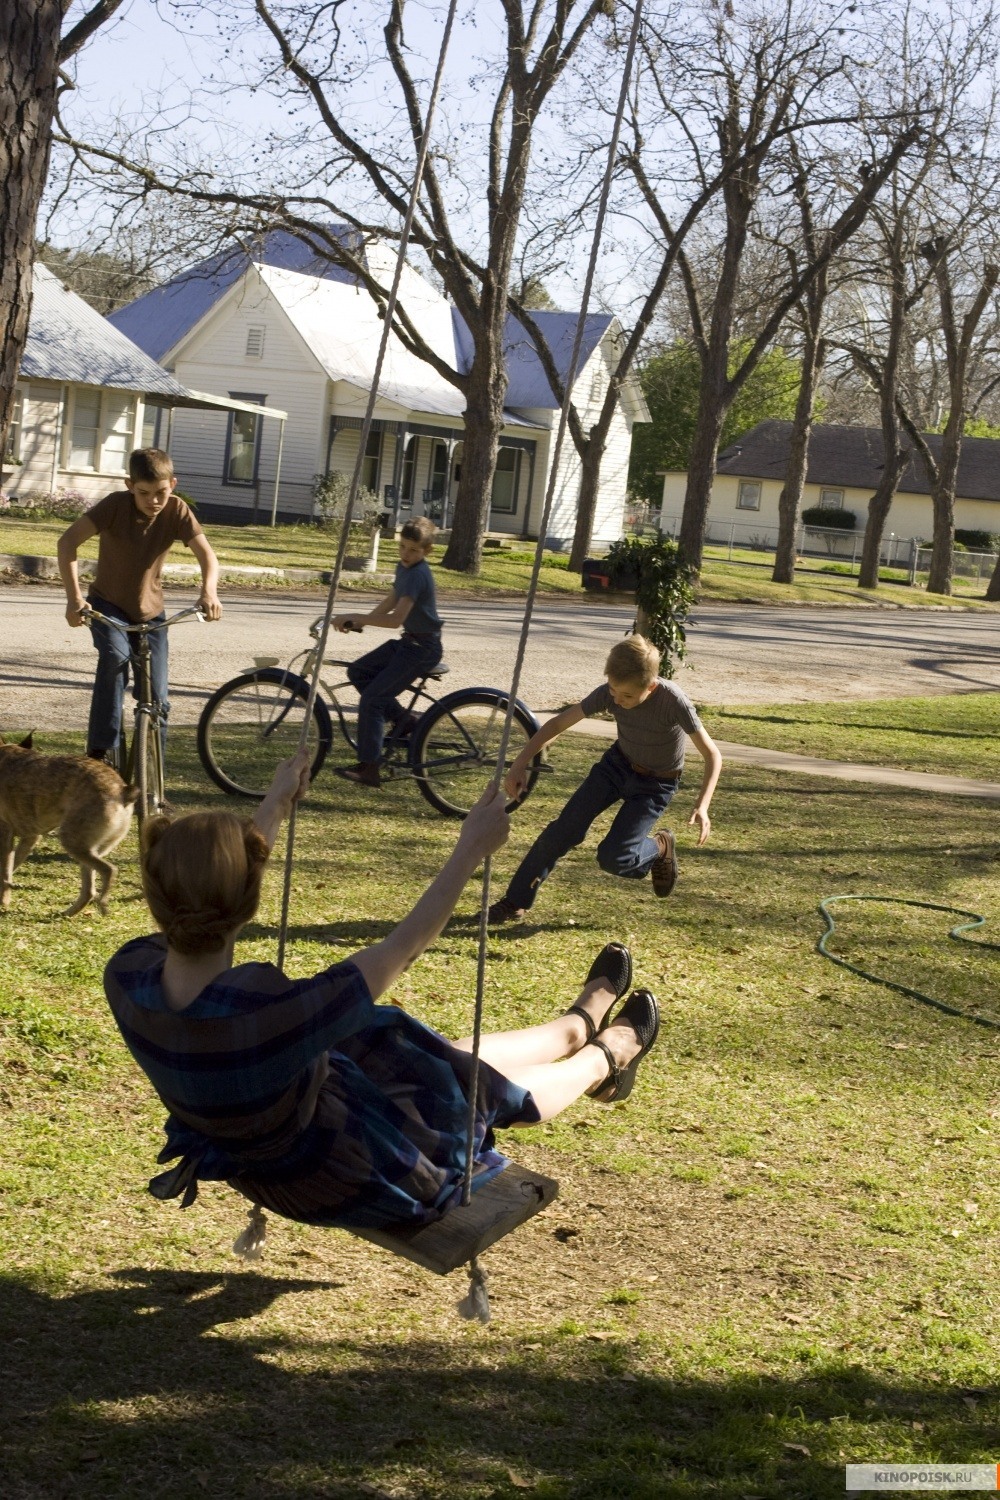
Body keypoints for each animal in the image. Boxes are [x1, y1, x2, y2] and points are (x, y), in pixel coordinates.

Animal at [0, 734, 139, 916]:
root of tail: (121, 791)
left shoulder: (7, 835)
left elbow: (5, 871)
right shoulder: (29, 838)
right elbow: (10, 868)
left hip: (73, 841)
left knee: (109, 871)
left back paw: (101, 903)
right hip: (88, 848)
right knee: (89, 890)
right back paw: (67, 913)